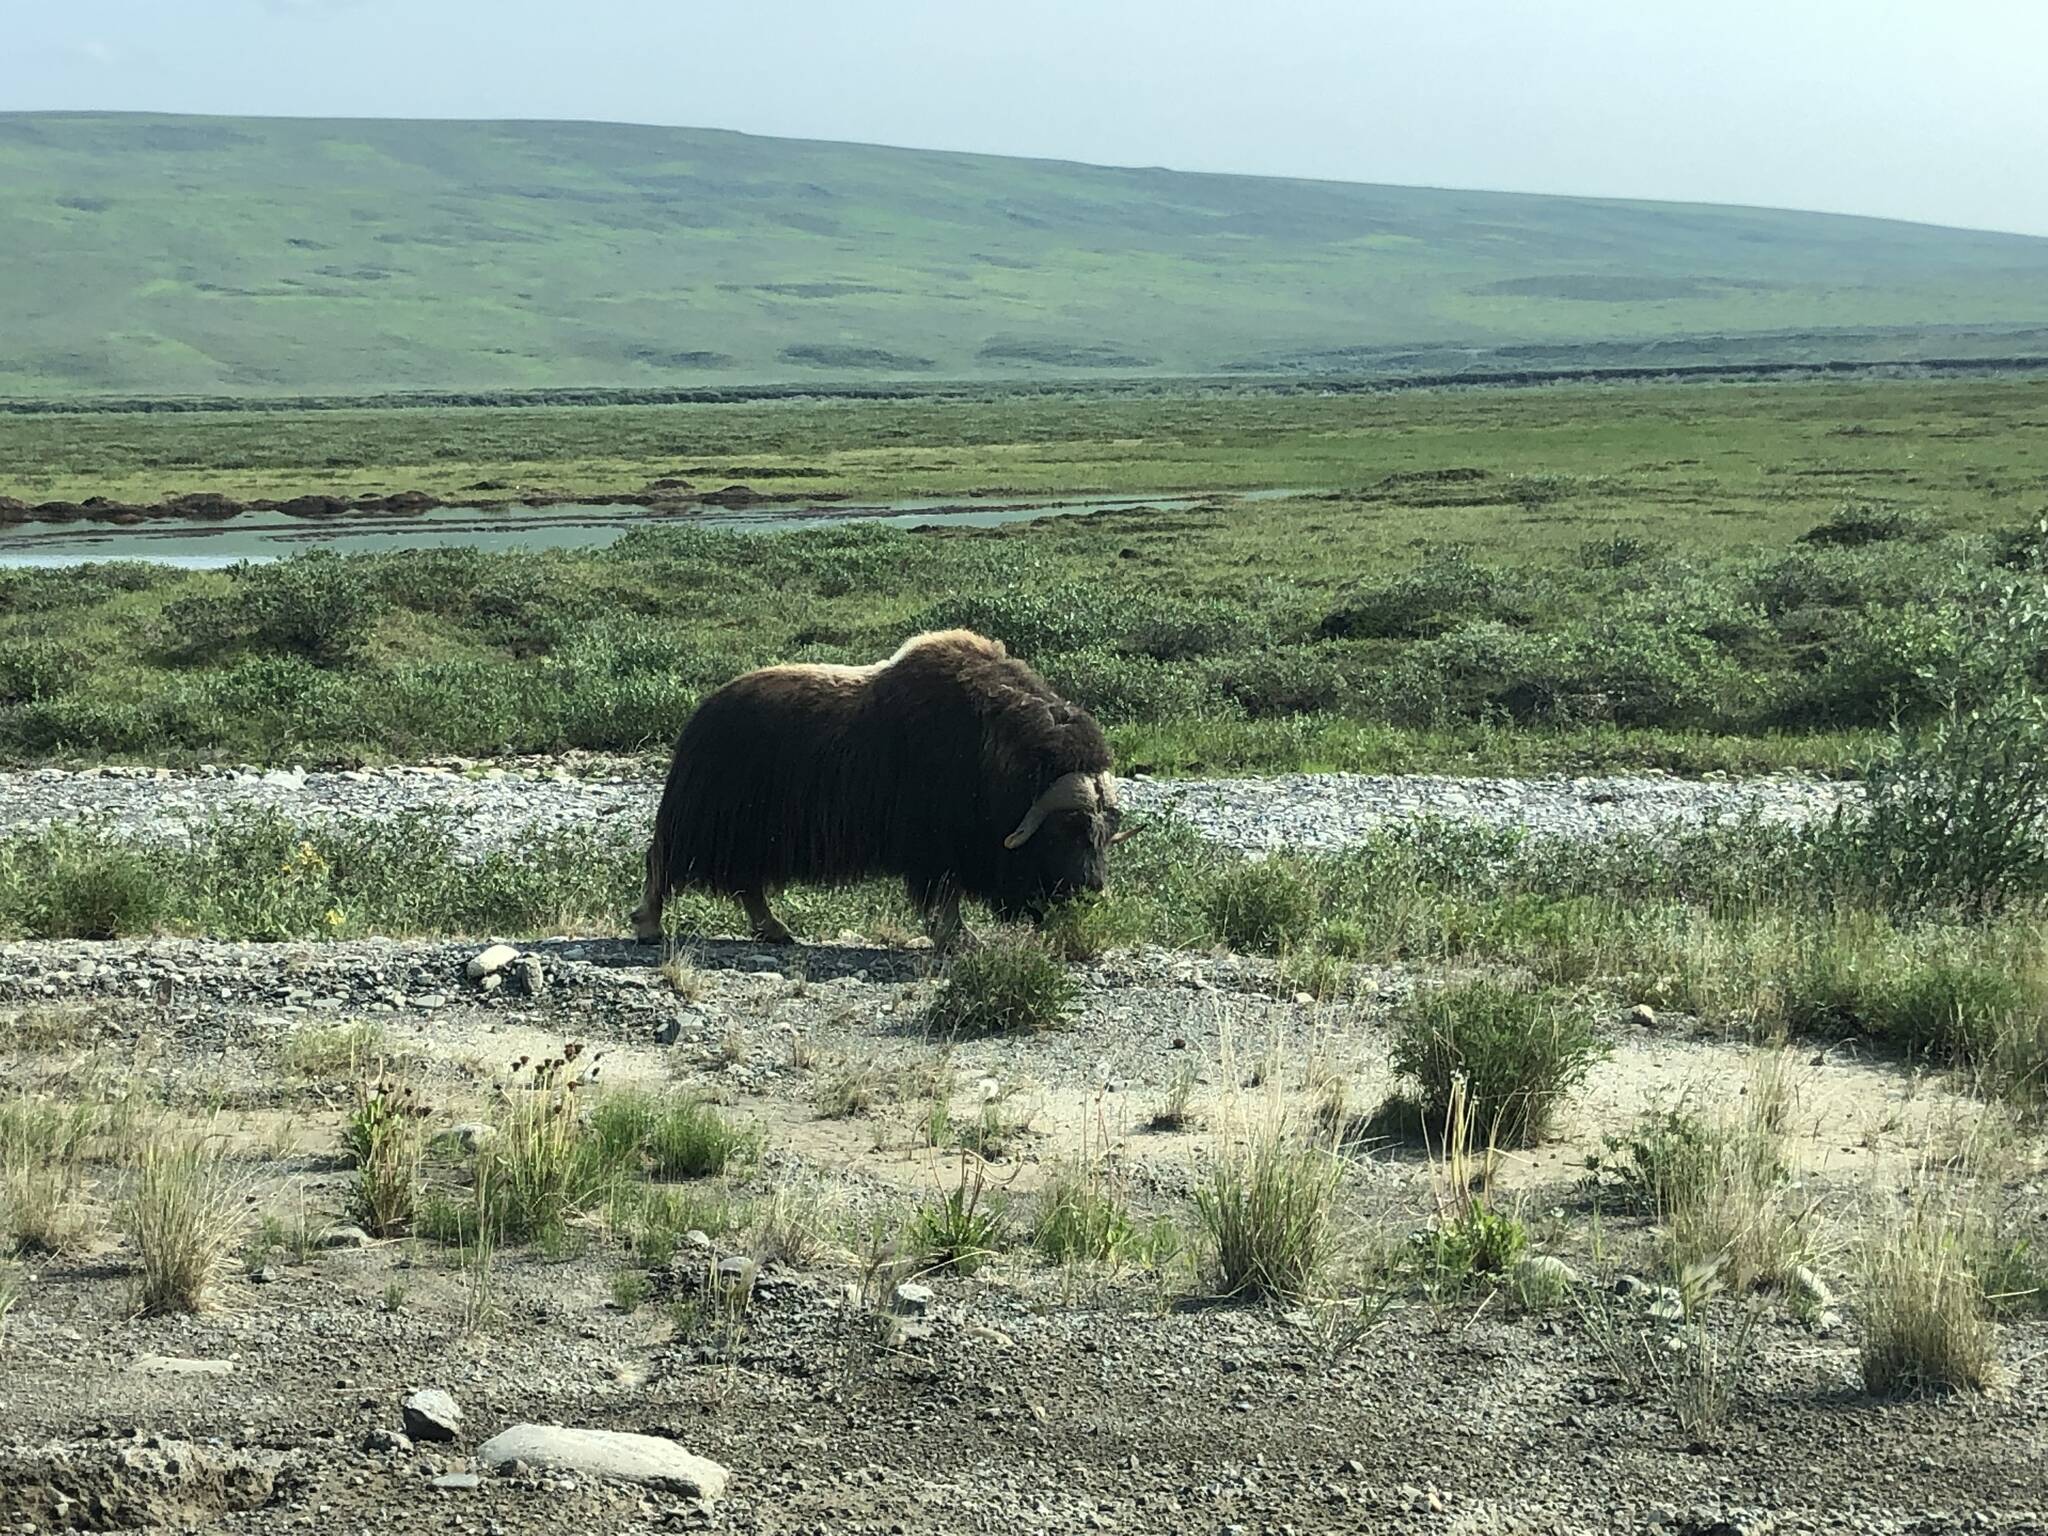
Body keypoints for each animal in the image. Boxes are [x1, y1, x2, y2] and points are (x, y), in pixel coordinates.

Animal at [631, 629, 1128, 948]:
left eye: (1105, 832)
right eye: (1068, 828)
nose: (1091, 893)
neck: (998, 755)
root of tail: (701, 715)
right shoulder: (935, 846)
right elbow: (943, 895)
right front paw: (960, 938)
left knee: (745, 885)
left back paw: (776, 931)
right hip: (704, 824)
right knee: (665, 865)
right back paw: (650, 927)